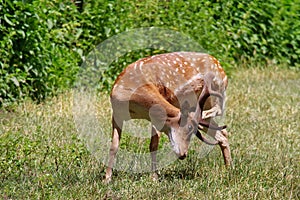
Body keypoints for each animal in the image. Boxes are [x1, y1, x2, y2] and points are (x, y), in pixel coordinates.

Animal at [105, 51, 232, 183]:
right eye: (189, 128)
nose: (183, 155)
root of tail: (220, 67)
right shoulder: (117, 114)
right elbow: (114, 146)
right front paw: (107, 179)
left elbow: (153, 145)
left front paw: (154, 178)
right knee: (222, 133)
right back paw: (229, 168)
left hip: (216, 92)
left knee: (219, 112)